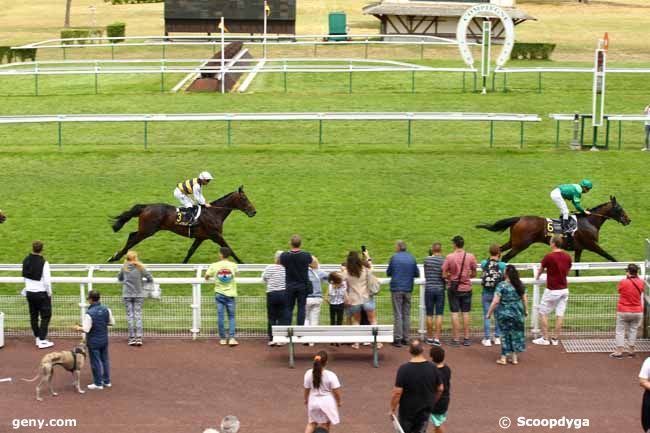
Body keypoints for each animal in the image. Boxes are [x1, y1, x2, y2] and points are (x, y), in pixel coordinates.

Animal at [108, 186, 256, 264]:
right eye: (244, 198)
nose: (254, 212)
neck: (214, 213)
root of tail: (146, 207)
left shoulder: (201, 237)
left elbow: (191, 250)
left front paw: (183, 264)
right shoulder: (216, 235)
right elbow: (229, 248)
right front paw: (242, 263)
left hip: (146, 229)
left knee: (131, 235)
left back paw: (116, 256)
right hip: (147, 230)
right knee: (133, 239)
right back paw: (115, 257)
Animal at [474, 197, 632, 264]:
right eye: (619, 208)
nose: (628, 220)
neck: (589, 221)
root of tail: (519, 218)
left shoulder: (579, 248)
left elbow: (577, 266)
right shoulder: (592, 245)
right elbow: (609, 256)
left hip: (514, 241)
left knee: (498, 251)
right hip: (521, 245)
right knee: (506, 258)